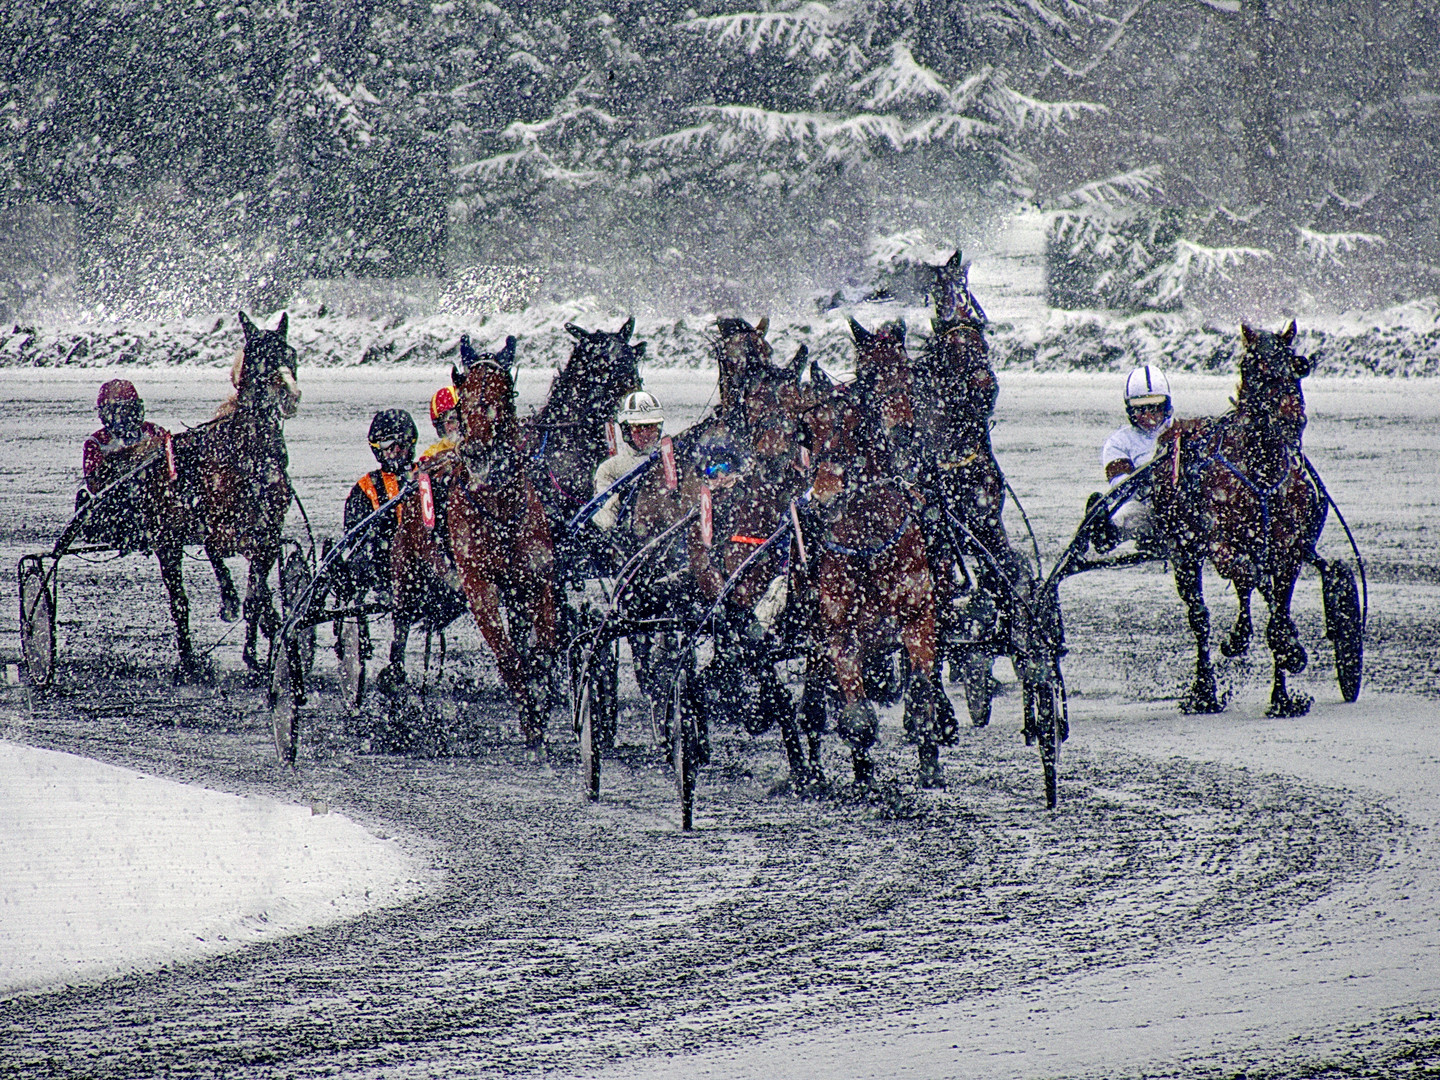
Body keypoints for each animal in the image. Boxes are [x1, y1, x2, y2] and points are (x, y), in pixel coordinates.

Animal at [397, 334, 558, 754]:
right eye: (464, 393)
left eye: (506, 393)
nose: (476, 452)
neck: (498, 509)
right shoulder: (478, 584)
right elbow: (509, 658)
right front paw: (531, 716)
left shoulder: (535, 579)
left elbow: (543, 651)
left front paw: (542, 704)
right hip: (406, 577)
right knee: (398, 635)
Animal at [1146, 325, 1324, 722]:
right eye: (1253, 367)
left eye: (1297, 365)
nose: (1292, 418)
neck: (1262, 468)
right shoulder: (1221, 545)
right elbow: (1251, 579)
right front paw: (1255, 641)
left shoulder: (1288, 550)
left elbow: (1277, 607)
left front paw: (1283, 694)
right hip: (1184, 552)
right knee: (1200, 617)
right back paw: (1205, 691)